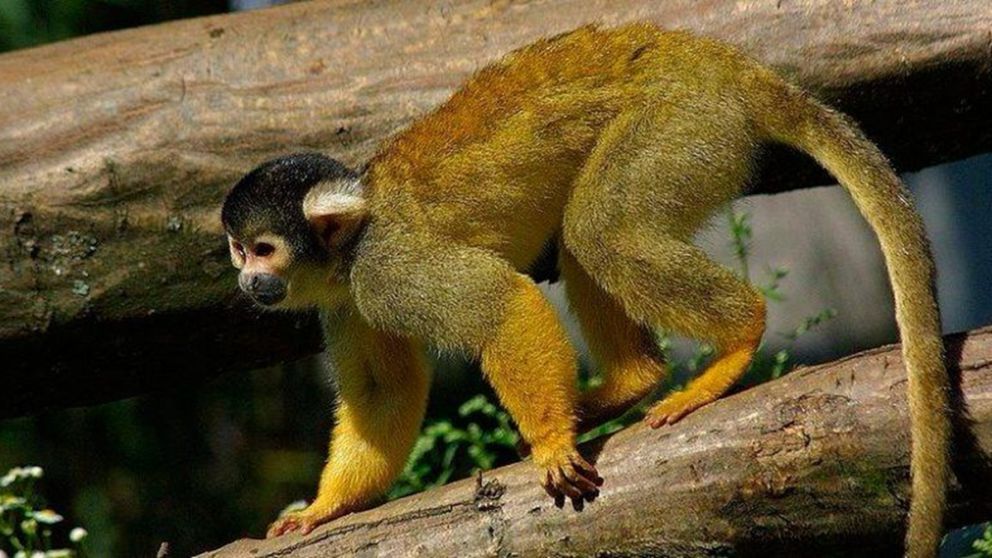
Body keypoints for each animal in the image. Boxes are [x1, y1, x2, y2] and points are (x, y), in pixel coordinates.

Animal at [221, 23, 950, 557]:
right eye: (236, 249)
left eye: (263, 249)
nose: (248, 280)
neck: (347, 248)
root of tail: (725, 64)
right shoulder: (346, 305)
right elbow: (384, 395)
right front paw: (324, 508)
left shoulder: (385, 271)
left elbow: (499, 304)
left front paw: (549, 440)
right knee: (585, 237)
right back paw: (631, 381)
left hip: (679, 124)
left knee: (601, 229)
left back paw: (738, 337)